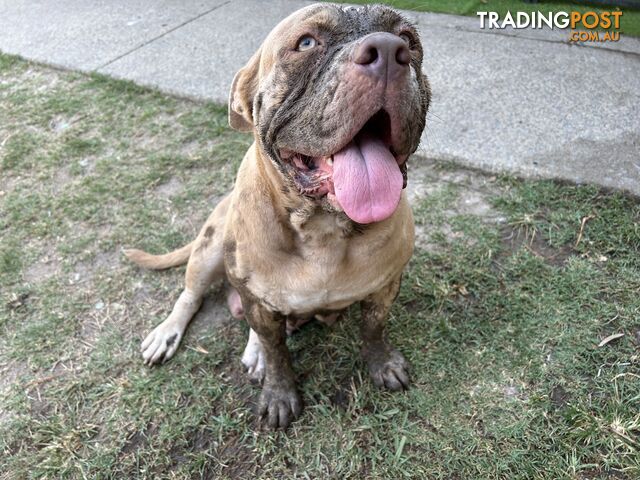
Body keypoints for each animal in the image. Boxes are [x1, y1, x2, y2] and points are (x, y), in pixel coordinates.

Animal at [124, 2, 430, 432]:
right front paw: (279, 392)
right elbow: (276, 350)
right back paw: (171, 334)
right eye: (306, 43)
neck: (323, 228)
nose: (389, 51)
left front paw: (382, 363)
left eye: (408, 40)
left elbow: (373, 328)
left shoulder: (385, 286)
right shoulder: (256, 298)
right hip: (211, 248)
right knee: (193, 296)